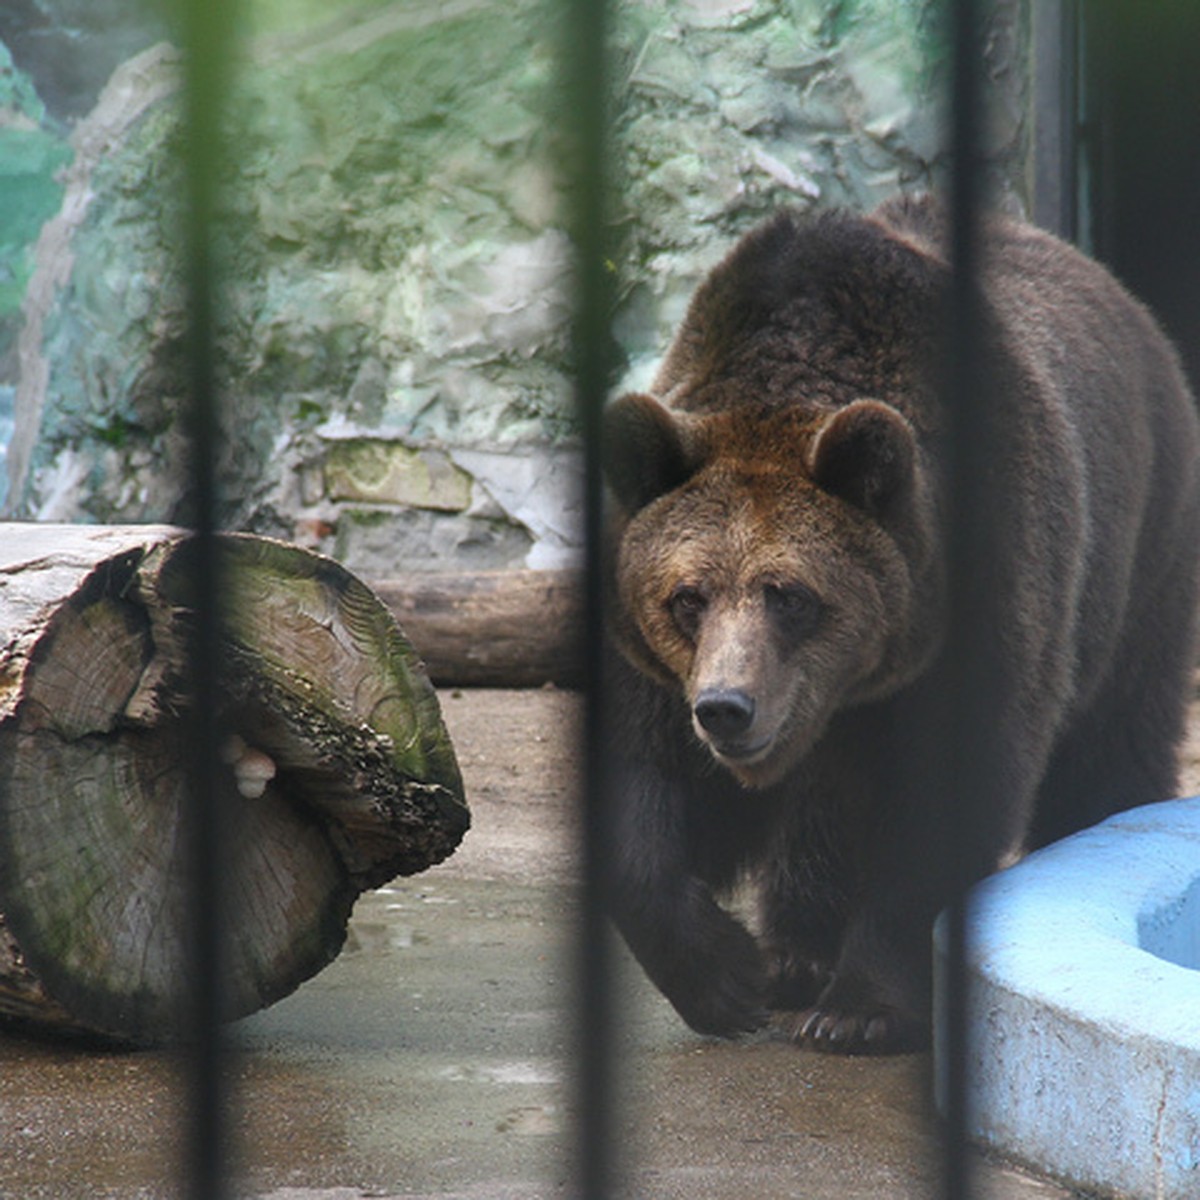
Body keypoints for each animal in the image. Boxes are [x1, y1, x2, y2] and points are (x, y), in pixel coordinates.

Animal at [604, 194, 1195, 1051]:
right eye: (687, 597)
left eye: (791, 595)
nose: (727, 709)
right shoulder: (660, 664)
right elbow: (649, 788)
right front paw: (727, 976)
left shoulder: (986, 592)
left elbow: (948, 799)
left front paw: (861, 1008)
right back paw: (795, 956)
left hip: (1142, 562)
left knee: (1111, 738)